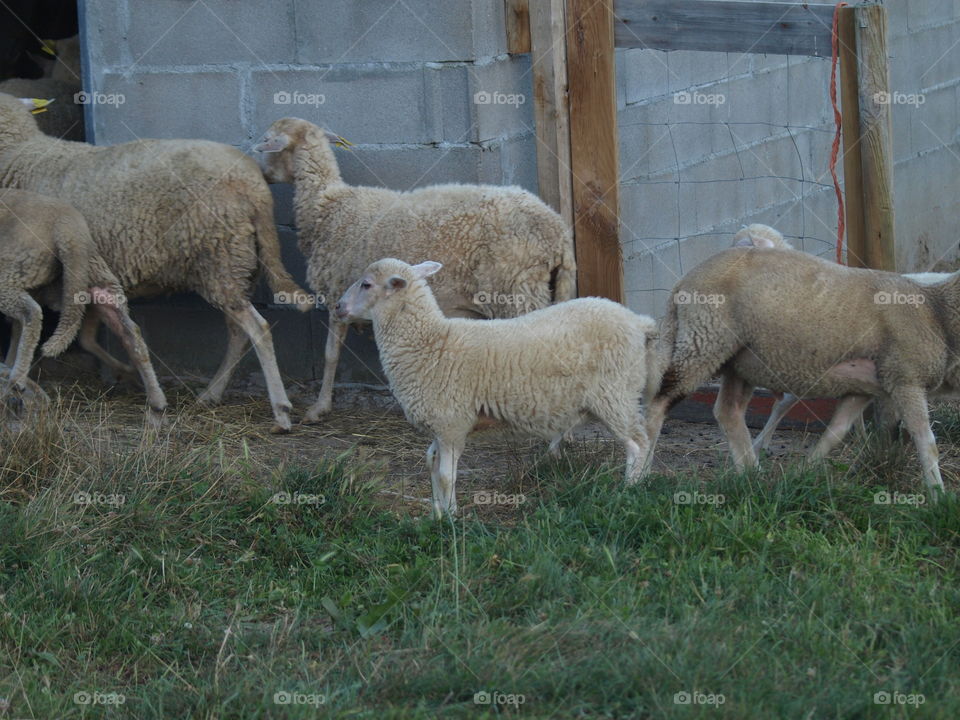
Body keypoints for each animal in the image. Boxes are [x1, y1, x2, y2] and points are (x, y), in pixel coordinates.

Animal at [0, 188, 167, 422]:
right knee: (129, 331)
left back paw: (17, 380)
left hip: (15, 267)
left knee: (30, 313)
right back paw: (156, 399)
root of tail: (69, 225)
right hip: (95, 277)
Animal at [252, 117, 577, 423]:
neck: (327, 205)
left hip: (516, 289)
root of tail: (557, 230)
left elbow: (330, 355)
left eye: (267, 140)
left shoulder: (337, 294)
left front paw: (319, 408)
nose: (260, 173)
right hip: (545, 286)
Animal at [334, 258, 657, 516]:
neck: (430, 343)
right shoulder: (442, 425)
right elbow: (431, 463)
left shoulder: (451, 422)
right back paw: (643, 481)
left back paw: (630, 489)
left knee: (637, 443)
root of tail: (638, 322)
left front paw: (449, 518)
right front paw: (436, 513)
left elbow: (445, 475)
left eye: (366, 284)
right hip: (618, 394)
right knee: (645, 440)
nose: (337, 307)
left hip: (614, 393)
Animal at [644, 244, 959, 499]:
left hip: (739, 360)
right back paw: (640, 475)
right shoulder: (905, 377)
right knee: (659, 402)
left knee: (728, 411)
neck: (936, 311)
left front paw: (804, 472)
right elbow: (925, 439)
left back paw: (752, 476)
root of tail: (681, 284)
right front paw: (937, 495)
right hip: (705, 339)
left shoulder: (864, 388)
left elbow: (835, 433)